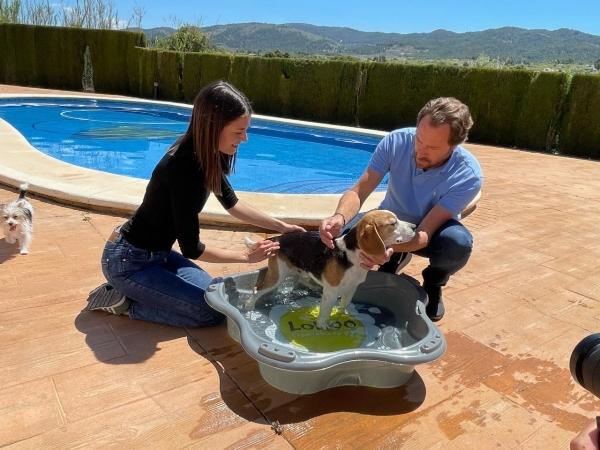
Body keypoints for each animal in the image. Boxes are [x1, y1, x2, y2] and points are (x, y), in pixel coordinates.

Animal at [246, 211, 414, 326]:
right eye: (393, 223)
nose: (414, 226)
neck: (351, 254)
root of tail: (276, 238)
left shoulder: (351, 288)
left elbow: (343, 305)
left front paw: (343, 315)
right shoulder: (331, 291)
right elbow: (325, 311)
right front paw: (322, 326)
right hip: (277, 277)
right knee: (257, 288)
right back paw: (249, 306)